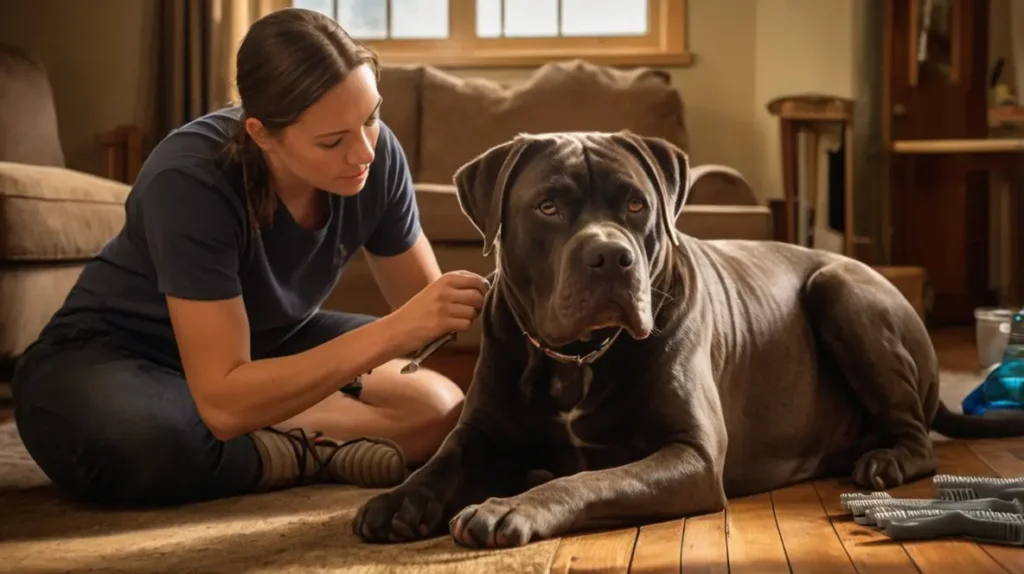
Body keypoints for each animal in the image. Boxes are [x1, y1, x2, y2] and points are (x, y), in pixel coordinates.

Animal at [354, 128, 1024, 544]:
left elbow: (588, 479)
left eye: (635, 205)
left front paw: (510, 506)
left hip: (841, 290)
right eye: (547, 207)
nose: (610, 257)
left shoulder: (692, 455)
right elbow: (440, 463)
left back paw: (883, 460)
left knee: (919, 438)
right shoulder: (483, 434)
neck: (580, 356)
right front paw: (398, 501)